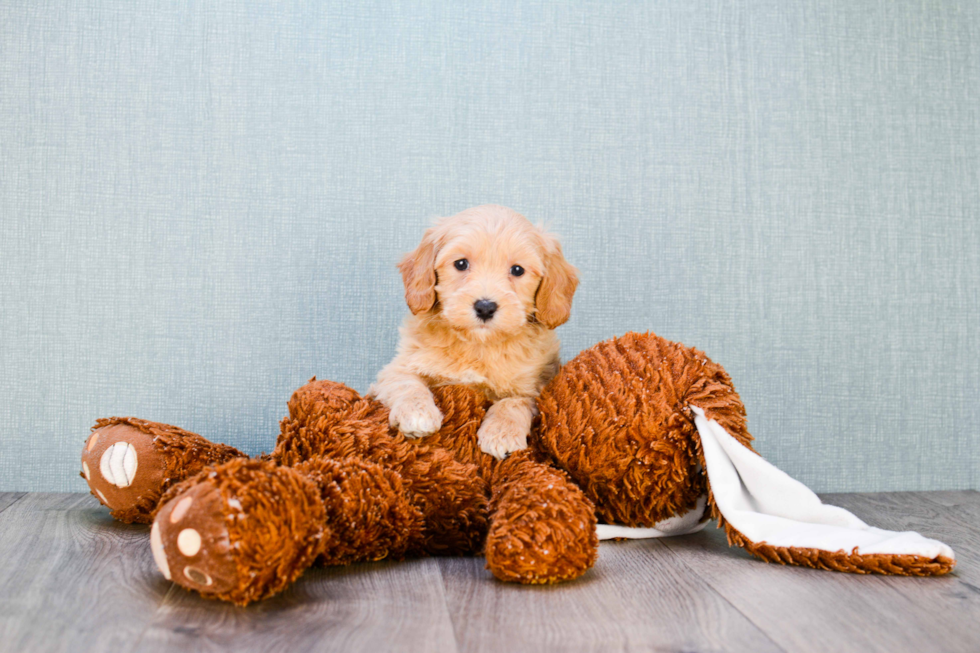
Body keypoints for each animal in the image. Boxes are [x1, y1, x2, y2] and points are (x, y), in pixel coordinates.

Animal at [372, 205, 580, 458]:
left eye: (517, 270)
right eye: (461, 264)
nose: (485, 307)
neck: (478, 345)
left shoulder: (535, 386)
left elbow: (513, 402)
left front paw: (501, 434)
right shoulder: (397, 368)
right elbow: (407, 384)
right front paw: (417, 414)